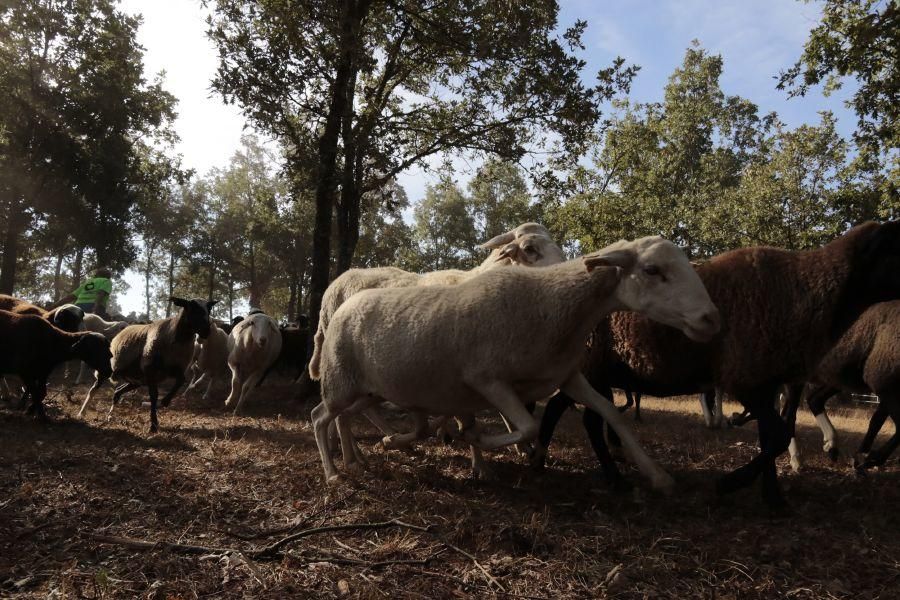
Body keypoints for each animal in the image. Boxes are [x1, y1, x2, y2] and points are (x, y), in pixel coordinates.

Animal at [312, 236, 720, 488]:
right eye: (652, 271)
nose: (710, 319)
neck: (553, 305)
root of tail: (342, 301)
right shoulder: (488, 380)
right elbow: (527, 427)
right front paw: (475, 438)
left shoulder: (566, 376)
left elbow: (611, 414)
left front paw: (657, 475)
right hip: (340, 381)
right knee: (320, 417)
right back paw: (334, 472)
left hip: (369, 390)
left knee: (346, 417)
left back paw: (363, 455)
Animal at [536, 220, 900, 506]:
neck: (804, 289)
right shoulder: (746, 378)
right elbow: (779, 435)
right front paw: (731, 482)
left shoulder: (766, 381)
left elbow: (771, 437)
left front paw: (772, 497)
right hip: (593, 369)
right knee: (587, 421)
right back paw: (610, 477)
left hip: (590, 371)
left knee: (560, 410)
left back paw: (543, 458)